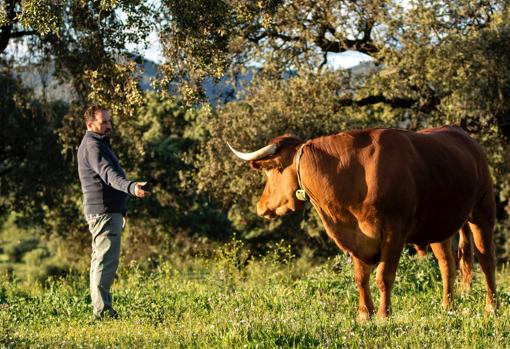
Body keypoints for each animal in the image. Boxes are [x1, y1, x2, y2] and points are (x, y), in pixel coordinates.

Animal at [230, 125, 498, 318]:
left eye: (270, 171)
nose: (261, 206)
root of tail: (464, 136)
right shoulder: (357, 235)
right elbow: (361, 277)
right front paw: (363, 314)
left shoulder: (394, 231)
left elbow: (383, 277)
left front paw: (382, 315)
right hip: (438, 227)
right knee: (447, 264)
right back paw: (446, 306)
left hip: (483, 212)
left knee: (486, 261)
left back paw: (491, 308)